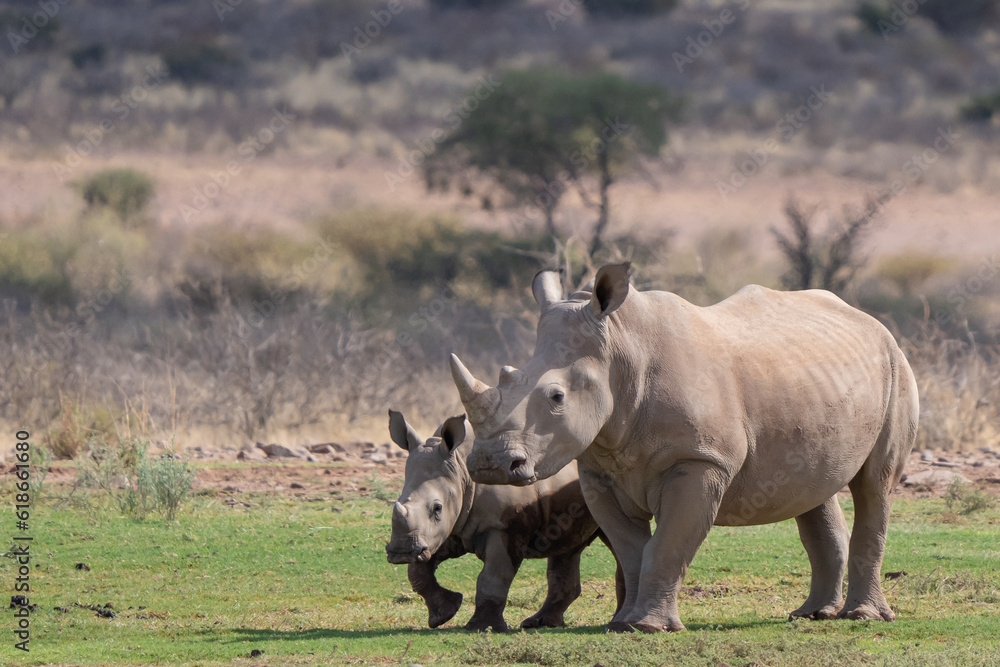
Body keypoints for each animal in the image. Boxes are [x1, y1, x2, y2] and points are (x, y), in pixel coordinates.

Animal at [385, 410, 623, 632]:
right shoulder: (449, 528)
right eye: (398, 502)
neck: (460, 468)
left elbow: (493, 576)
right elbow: (418, 571)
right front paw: (443, 615)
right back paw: (538, 623)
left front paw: (481, 628)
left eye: (437, 508)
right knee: (567, 549)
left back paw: (615, 624)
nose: (401, 552)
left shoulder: (504, 527)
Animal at [449, 263, 919, 633]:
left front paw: (647, 627)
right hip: (814, 378)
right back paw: (812, 614)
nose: (490, 464)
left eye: (556, 397)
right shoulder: (598, 470)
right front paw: (624, 624)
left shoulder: (699, 460)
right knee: (814, 487)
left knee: (875, 485)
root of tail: (870, 320)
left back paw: (862, 617)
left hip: (896, 363)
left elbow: (667, 544)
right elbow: (632, 549)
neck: (621, 350)